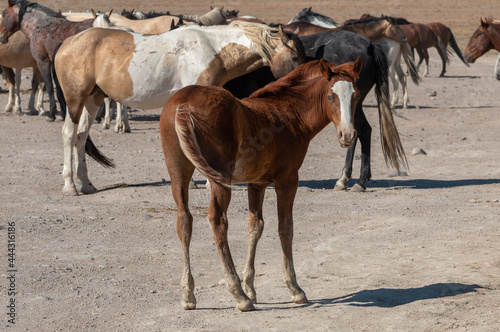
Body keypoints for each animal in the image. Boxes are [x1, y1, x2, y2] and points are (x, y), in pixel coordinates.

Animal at [52, 20, 306, 196]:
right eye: (294, 56)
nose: (304, 81)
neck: (212, 51)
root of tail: (67, 43)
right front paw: (207, 180)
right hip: (76, 99)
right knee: (69, 135)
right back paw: (70, 186)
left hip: (93, 98)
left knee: (81, 136)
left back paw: (86, 184)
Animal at [162, 57, 362, 312]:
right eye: (330, 96)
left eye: (356, 95)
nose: (348, 136)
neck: (288, 114)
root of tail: (184, 104)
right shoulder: (287, 179)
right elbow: (285, 228)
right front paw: (294, 288)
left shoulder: (256, 183)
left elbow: (254, 228)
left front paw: (251, 287)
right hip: (219, 178)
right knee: (217, 221)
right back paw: (238, 295)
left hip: (178, 173)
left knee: (184, 220)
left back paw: (188, 294)